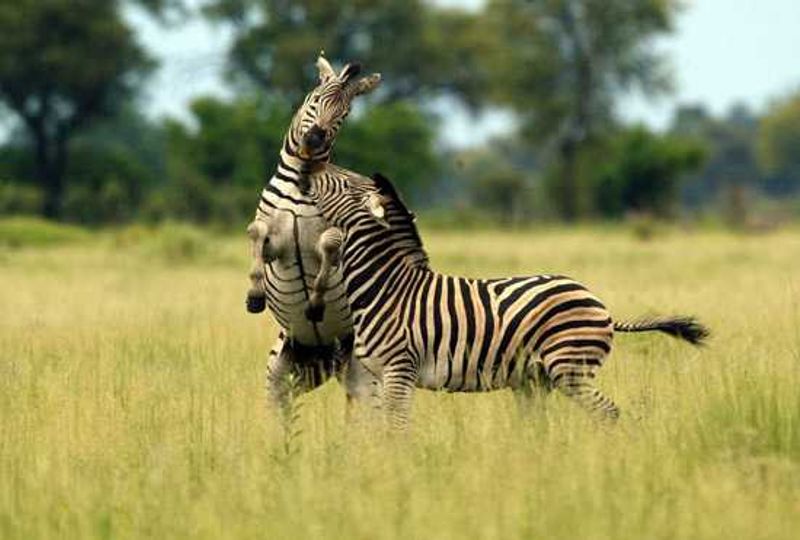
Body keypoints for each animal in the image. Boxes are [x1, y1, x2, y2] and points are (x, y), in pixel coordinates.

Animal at [244, 54, 381, 407]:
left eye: (343, 114)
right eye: (315, 101)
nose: (315, 138)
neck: (301, 179)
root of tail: (323, 352)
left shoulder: (338, 238)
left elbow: (330, 247)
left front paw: (316, 302)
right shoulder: (274, 245)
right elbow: (256, 232)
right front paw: (254, 295)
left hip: (361, 366)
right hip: (284, 368)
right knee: (280, 406)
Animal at [305, 171, 710, 428]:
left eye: (341, 182)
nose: (312, 162)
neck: (386, 287)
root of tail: (599, 302)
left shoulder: (399, 370)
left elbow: (397, 429)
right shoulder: (377, 375)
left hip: (570, 369)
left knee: (607, 413)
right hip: (537, 379)